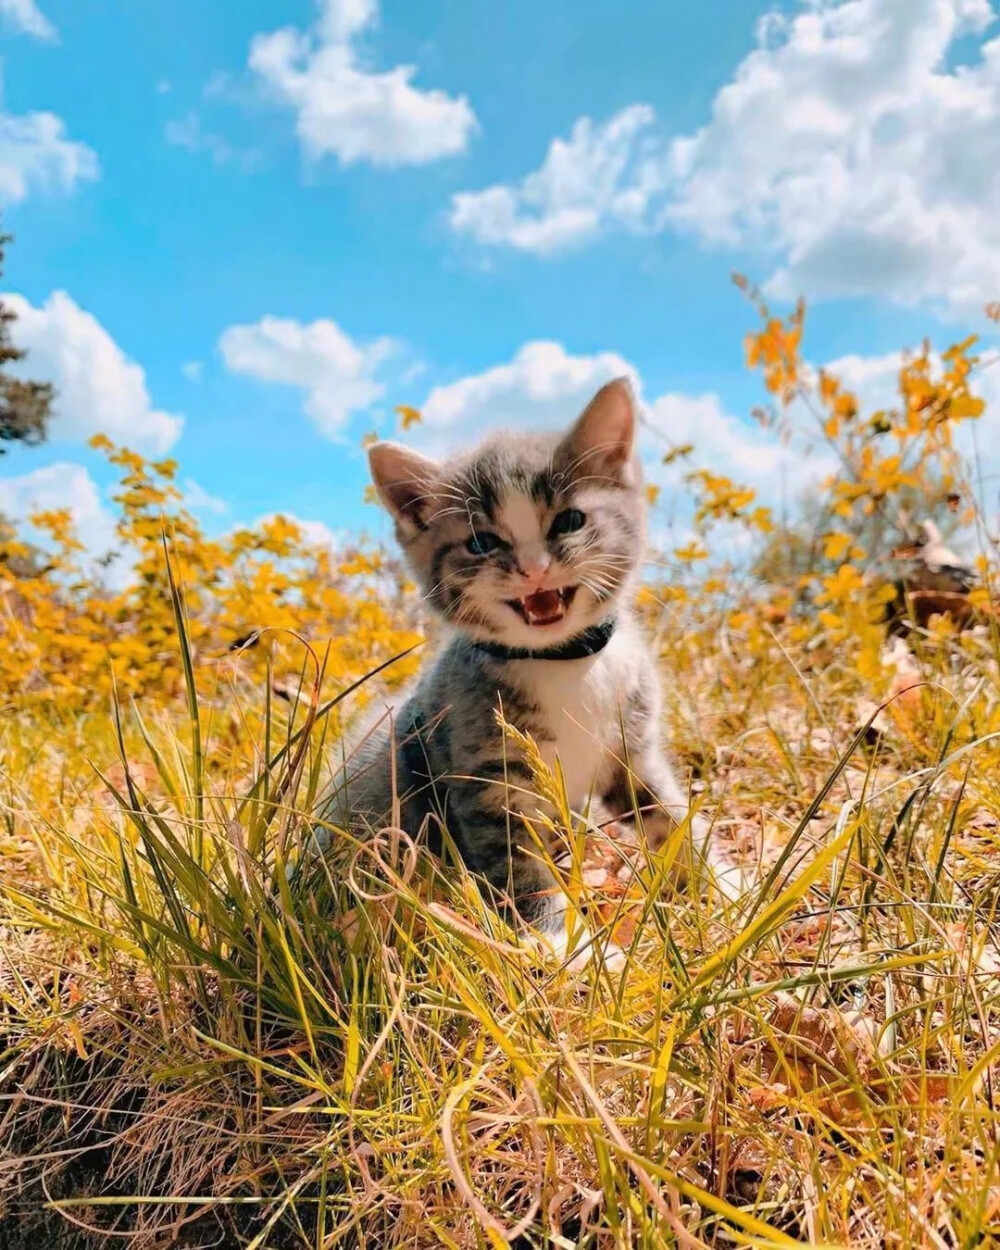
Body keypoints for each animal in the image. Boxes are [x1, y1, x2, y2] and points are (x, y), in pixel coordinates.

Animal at [322, 380, 740, 965]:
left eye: (569, 521)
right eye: (481, 543)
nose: (535, 570)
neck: (565, 662)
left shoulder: (632, 752)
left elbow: (671, 815)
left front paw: (730, 885)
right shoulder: (487, 781)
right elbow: (520, 867)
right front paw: (563, 943)